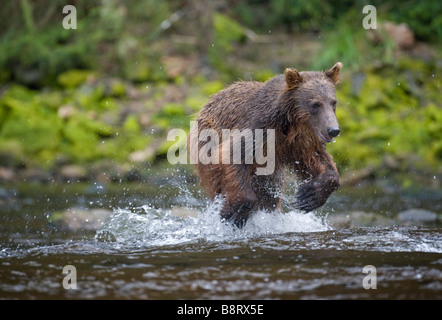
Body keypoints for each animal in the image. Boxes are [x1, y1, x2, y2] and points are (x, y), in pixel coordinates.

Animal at [188, 62, 344, 228]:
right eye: (315, 104)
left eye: (333, 102)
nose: (333, 129)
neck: (291, 123)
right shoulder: (259, 125)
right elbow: (233, 153)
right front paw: (233, 212)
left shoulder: (300, 141)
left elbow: (316, 159)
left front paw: (308, 196)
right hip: (207, 138)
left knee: (269, 194)